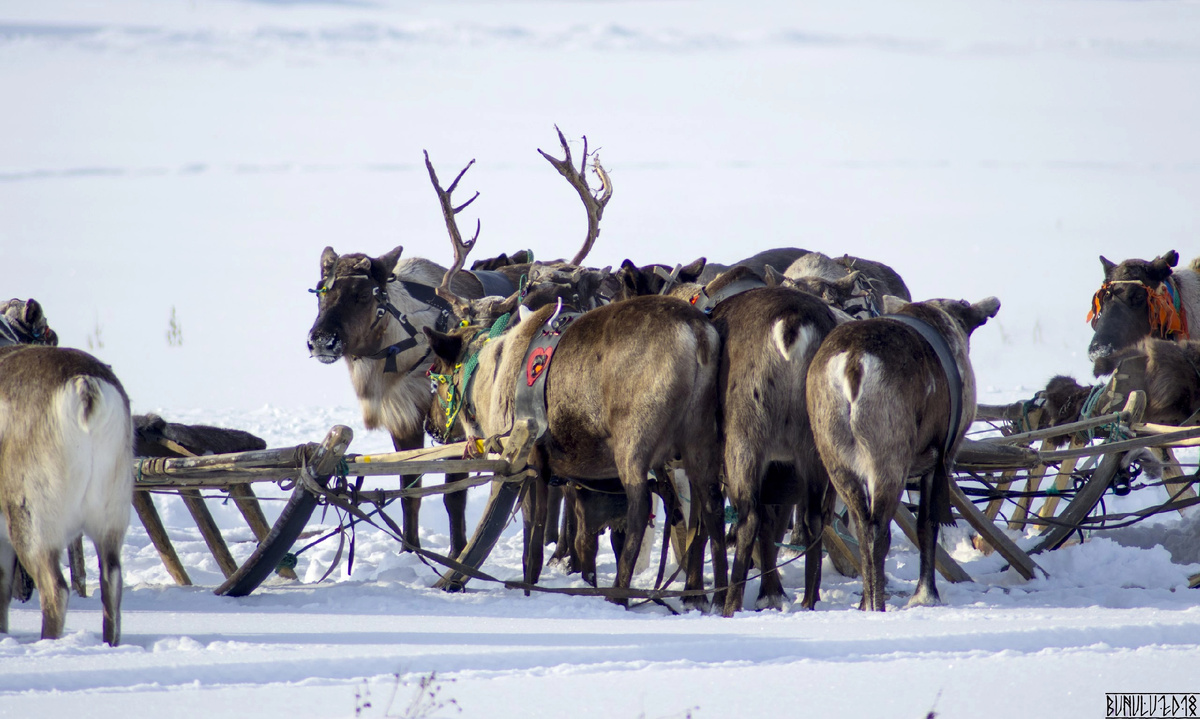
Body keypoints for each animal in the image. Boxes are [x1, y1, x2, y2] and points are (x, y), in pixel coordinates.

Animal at [305, 128, 611, 561]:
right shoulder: (407, 421)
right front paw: (411, 552)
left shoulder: (456, 428)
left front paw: (456, 551)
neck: (405, 350)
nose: (320, 341)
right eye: (320, 291)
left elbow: (454, 496)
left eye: (363, 295)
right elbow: (411, 492)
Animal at [421, 149, 727, 610]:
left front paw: (528, 591)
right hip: (699, 439)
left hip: (634, 439)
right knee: (709, 509)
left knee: (639, 510)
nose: (432, 427)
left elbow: (532, 545)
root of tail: (698, 332)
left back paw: (620, 595)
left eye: (437, 371)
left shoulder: (527, 462)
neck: (489, 375)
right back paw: (710, 594)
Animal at [807, 295, 1000, 611]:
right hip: (888, 456)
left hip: (835, 458)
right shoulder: (941, 458)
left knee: (861, 528)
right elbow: (927, 526)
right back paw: (877, 606)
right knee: (878, 532)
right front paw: (926, 595)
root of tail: (852, 362)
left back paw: (865, 604)